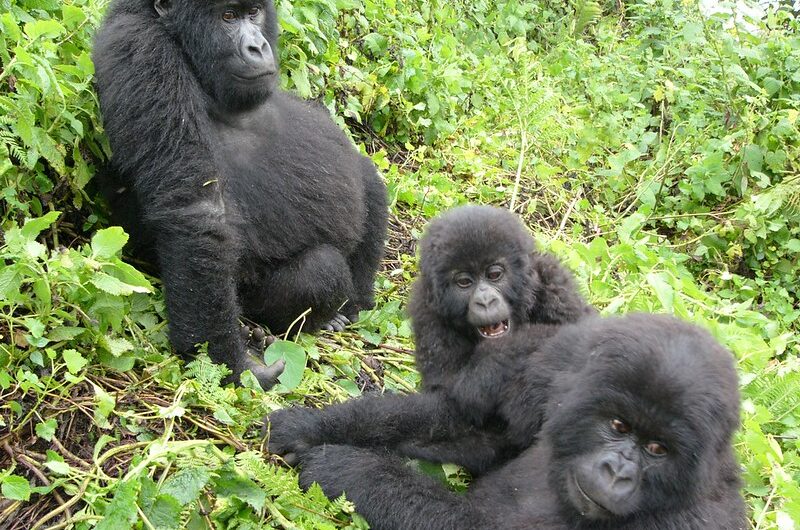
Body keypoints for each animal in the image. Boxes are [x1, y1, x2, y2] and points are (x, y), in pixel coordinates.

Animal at [93, 1, 388, 388]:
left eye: (254, 14)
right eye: (228, 17)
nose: (257, 47)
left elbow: (359, 169)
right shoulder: (142, 48)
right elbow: (198, 210)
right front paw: (230, 362)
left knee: (369, 182)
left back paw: (351, 307)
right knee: (320, 268)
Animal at [296, 314, 748, 528]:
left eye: (657, 449)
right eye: (619, 426)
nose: (616, 472)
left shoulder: (691, 521)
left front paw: (347, 468)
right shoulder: (565, 370)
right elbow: (478, 424)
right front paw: (311, 428)